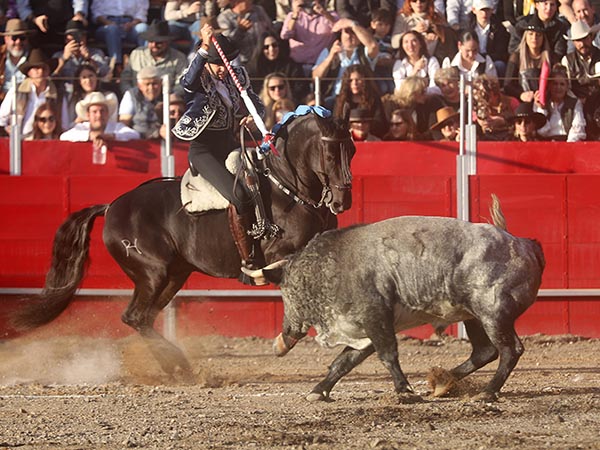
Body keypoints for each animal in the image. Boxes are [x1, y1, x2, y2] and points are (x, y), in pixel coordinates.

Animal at [11, 110, 356, 378]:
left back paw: (176, 367)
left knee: (144, 318)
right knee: (134, 317)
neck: (285, 187)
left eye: (352, 150)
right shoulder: (282, 256)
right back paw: (179, 365)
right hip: (152, 274)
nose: (343, 201)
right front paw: (286, 340)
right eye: (329, 154)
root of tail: (111, 207)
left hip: (174, 275)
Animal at [244, 195, 544, 402]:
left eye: (286, 292)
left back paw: (487, 392)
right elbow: (344, 362)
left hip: (493, 314)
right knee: (485, 351)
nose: (283, 337)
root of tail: (524, 244)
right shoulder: (362, 327)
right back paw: (443, 381)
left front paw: (405, 392)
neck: (332, 265)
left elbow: (387, 355)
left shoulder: (375, 317)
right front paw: (318, 391)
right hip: (472, 316)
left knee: (510, 350)